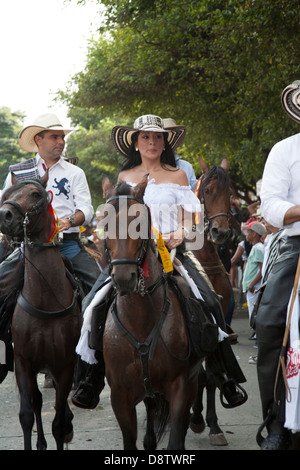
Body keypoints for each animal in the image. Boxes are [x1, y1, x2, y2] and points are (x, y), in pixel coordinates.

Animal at [0, 173, 81, 452]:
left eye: (36, 194)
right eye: (6, 194)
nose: (4, 215)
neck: (45, 300)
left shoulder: (64, 365)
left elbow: (58, 420)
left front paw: (63, 431)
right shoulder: (24, 363)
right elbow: (27, 414)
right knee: (36, 402)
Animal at [100, 175, 216, 448]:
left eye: (140, 222)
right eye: (104, 223)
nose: (124, 278)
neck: (140, 321)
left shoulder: (181, 386)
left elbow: (176, 438)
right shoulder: (120, 396)